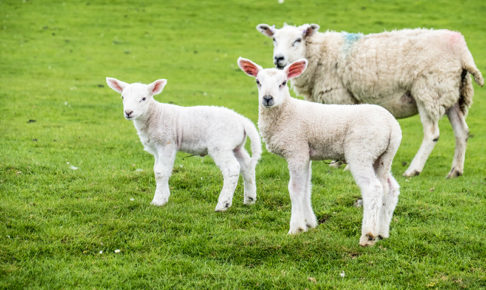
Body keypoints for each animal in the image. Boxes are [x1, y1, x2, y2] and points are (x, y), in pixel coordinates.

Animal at [104, 78, 260, 212]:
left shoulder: (167, 143)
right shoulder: (156, 148)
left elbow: (160, 172)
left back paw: (223, 204)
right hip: (236, 146)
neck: (154, 115)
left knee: (232, 169)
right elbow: (159, 170)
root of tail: (242, 120)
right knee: (247, 166)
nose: (128, 112)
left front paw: (158, 201)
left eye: (143, 98)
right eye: (122, 97)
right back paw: (250, 199)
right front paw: (164, 196)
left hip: (221, 145)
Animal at [238, 57, 402, 247]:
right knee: (390, 188)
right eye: (258, 82)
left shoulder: (296, 149)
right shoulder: (305, 153)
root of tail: (391, 125)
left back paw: (368, 236)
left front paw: (296, 228)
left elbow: (295, 188)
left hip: (361, 151)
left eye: (283, 83)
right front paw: (309, 223)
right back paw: (382, 232)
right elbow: (306, 187)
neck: (286, 111)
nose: (267, 99)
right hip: (383, 156)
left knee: (373, 188)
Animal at [256, 24, 484, 179]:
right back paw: (455, 170)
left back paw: (413, 169)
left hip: (428, 90)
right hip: (450, 92)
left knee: (432, 134)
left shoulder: (340, 96)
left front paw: (342, 163)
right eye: (274, 39)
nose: (279, 59)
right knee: (462, 132)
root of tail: (461, 49)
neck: (320, 54)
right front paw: (336, 163)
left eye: (297, 40)